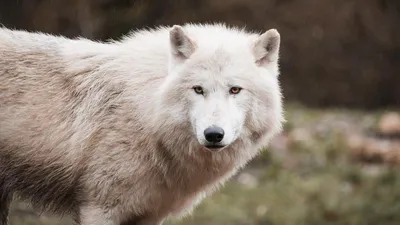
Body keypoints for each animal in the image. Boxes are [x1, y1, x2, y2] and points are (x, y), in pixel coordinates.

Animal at [0, 23, 282, 225]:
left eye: (235, 90)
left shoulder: (148, 215)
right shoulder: (98, 210)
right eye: (198, 89)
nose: (213, 134)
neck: (148, 113)